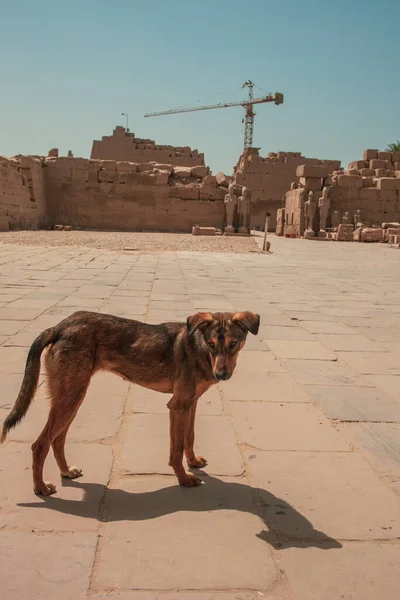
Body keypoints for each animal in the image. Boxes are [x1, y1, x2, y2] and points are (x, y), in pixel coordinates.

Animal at [0, 312, 260, 494]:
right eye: (212, 344)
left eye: (233, 343)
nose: (221, 375)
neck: (199, 349)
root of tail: (60, 326)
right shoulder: (177, 406)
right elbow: (175, 451)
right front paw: (184, 479)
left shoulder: (191, 403)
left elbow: (190, 437)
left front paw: (193, 462)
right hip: (70, 397)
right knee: (40, 445)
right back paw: (41, 488)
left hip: (72, 397)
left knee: (57, 440)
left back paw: (66, 472)